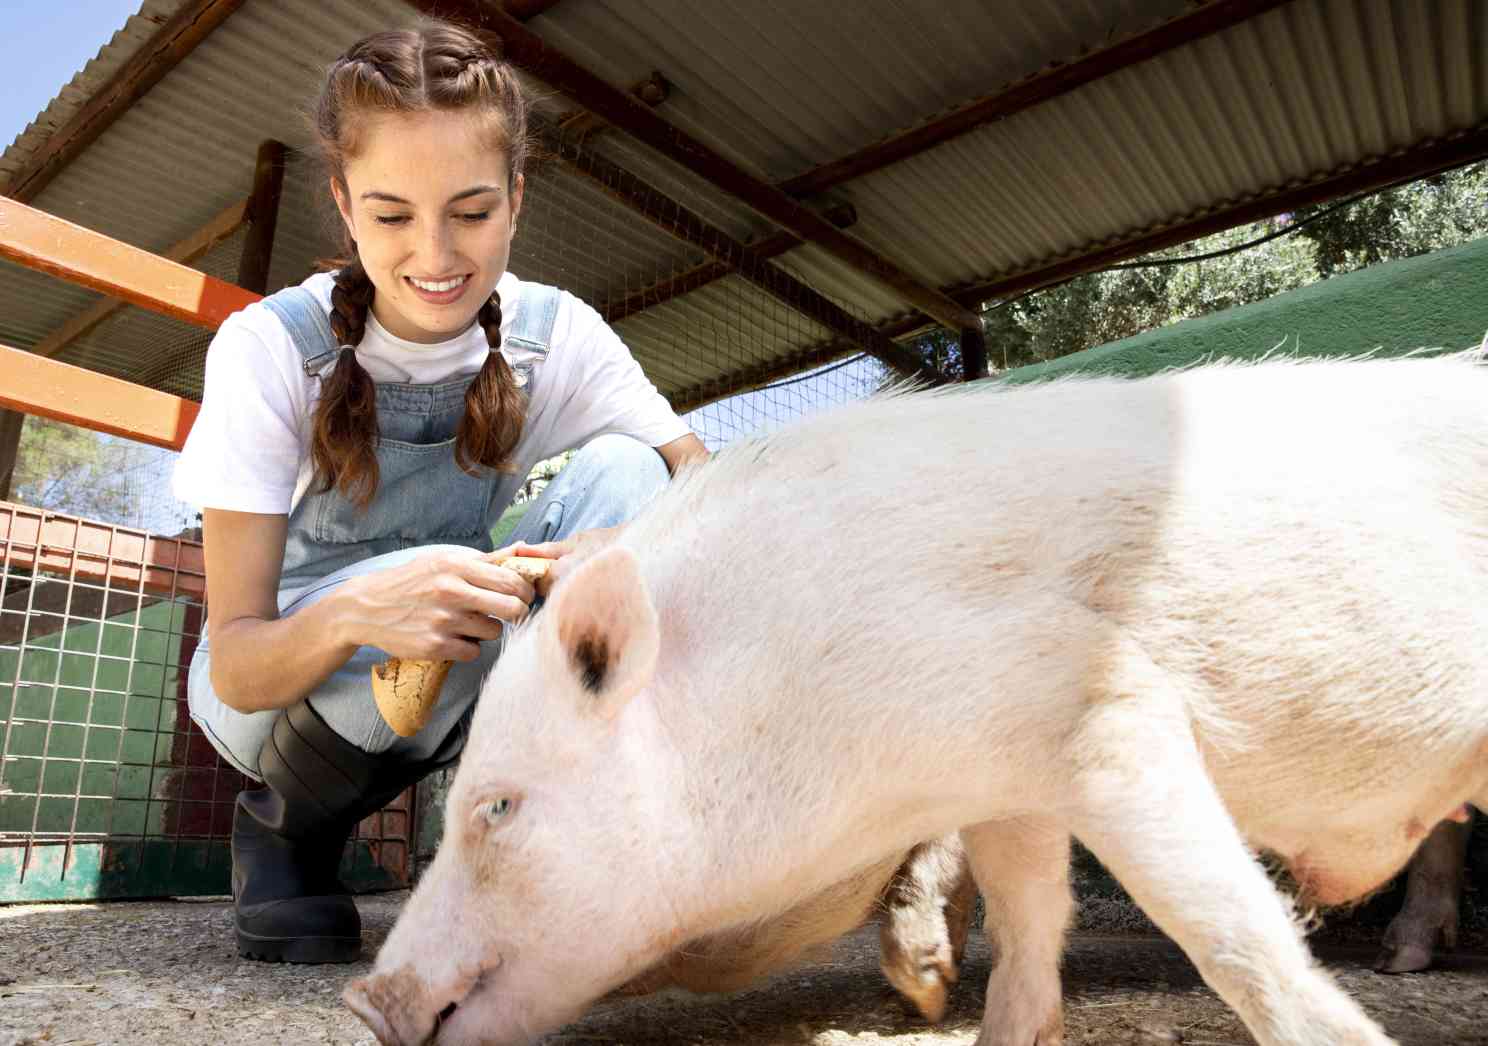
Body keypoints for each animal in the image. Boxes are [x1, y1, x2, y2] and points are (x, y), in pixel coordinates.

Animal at [342, 355, 1488, 1041]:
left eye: (496, 806)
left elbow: (1228, 924)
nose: (364, 997)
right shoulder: (1010, 775)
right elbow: (1033, 910)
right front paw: (975, 1016)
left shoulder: (1101, 709)